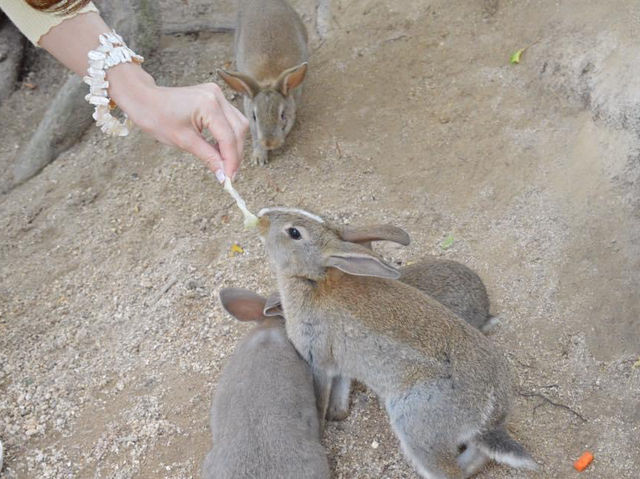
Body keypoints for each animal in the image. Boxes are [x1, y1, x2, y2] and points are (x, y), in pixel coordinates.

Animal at [258, 209, 536, 479]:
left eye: (294, 232)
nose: (262, 219)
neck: (312, 279)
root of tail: (489, 409)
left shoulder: (319, 361)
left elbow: (321, 397)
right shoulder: (343, 364)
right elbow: (342, 387)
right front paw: (338, 412)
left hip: (415, 425)